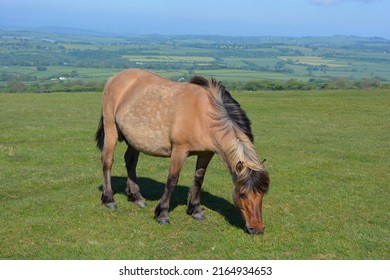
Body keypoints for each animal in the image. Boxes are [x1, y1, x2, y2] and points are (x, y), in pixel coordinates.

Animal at [96, 68, 270, 234]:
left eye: (263, 194)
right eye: (242, 194)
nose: (257, 229)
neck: (204, 113)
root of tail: (113, 79)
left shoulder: (206, 154)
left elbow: (199, 179)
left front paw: (196, 210)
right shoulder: (179, 151)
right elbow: (172, 180)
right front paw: (162, 214)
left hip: (135, 140)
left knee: (130, 162)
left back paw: (137, 197)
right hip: (111, 129)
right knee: (107, 161)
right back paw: (109, 199)